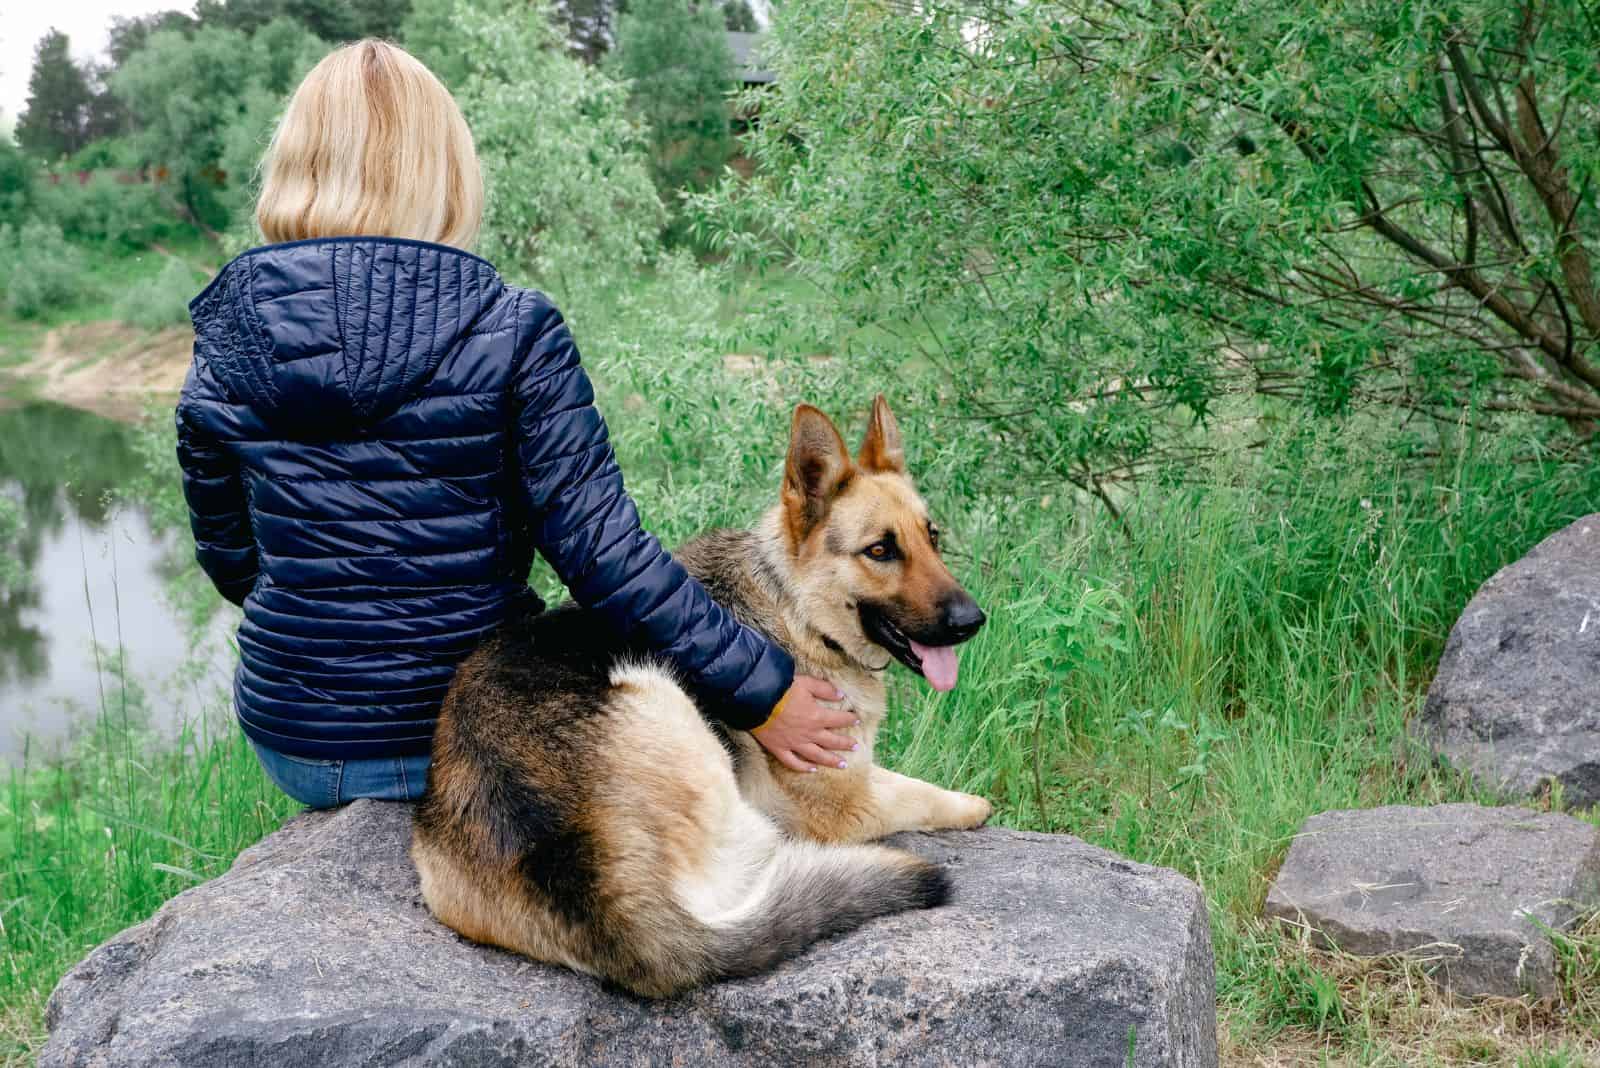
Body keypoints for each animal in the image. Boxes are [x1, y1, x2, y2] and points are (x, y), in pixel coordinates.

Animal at [409, 396, 985, 997]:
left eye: (932, 538)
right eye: (879, 550)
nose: (973, 621)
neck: (794, 610)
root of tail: (611, 903)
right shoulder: (846, 802)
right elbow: (922, 794)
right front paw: (971, 805)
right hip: (668, 702)